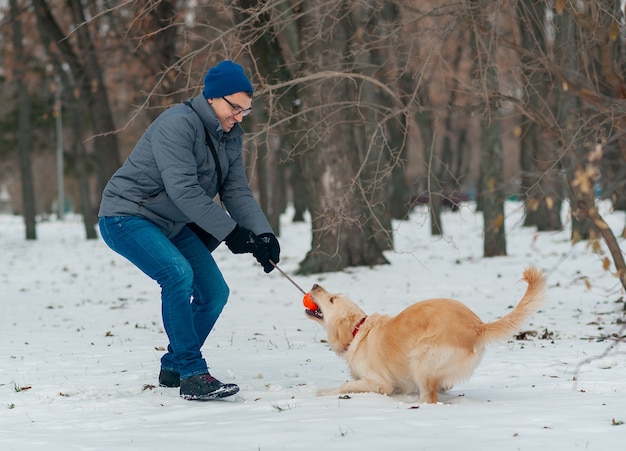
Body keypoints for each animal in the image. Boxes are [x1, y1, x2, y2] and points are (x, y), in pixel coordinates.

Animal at [304, 266, 544, 404]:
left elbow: (347, 386)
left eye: (332, 299)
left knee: (430, 397)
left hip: (421, 357)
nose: (314, 284)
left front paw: (322, 393)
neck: (358, 331)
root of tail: (477, 326)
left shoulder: (379, 382)